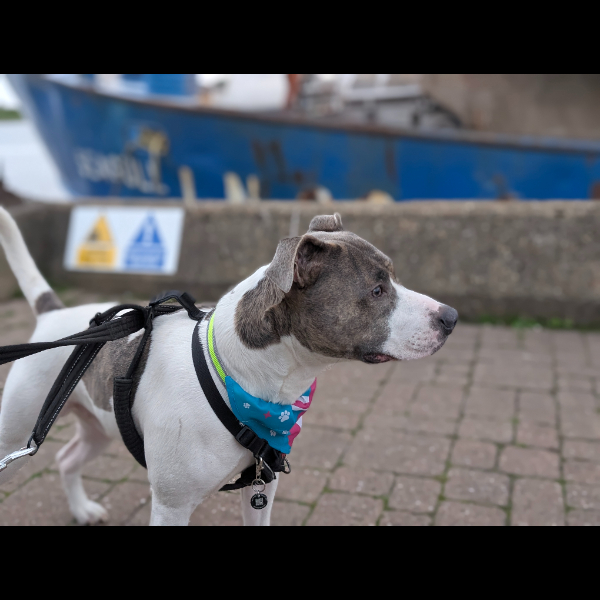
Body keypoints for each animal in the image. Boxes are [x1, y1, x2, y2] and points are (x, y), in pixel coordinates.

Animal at [0, 208, 457, 525]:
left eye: (392, 279)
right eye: (377, 290)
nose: (450, 317)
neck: (238, 381)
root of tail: (54, 314)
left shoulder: (261, 490)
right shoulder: (171, 506)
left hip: (99, 425)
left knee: (67, 458)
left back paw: (82, 509)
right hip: (16, 438)